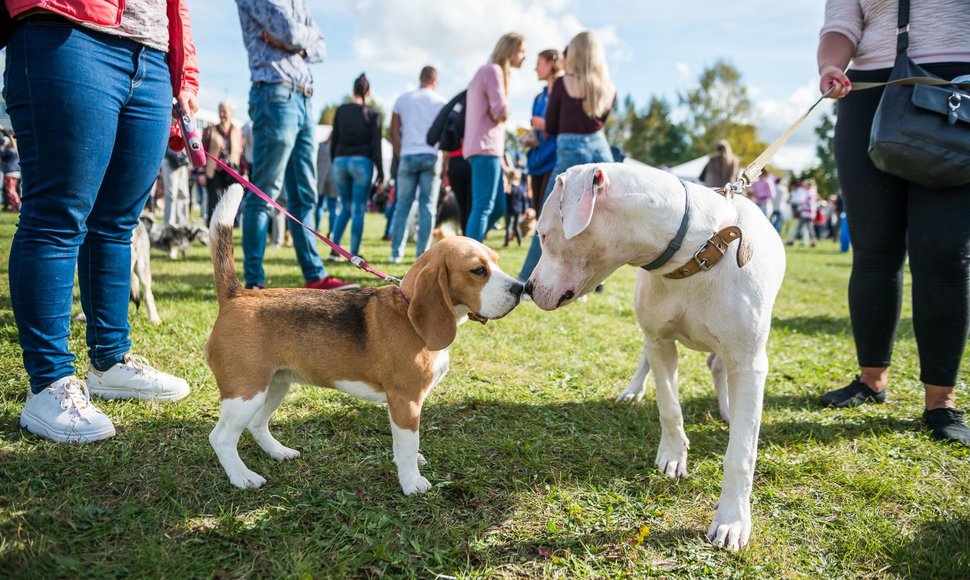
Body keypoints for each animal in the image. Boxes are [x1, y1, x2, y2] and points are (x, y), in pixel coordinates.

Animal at [520, 163, 788, 552]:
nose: (527, 287)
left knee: (719, 368)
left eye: (542, 234)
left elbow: (741, 453)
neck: (695, 252)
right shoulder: (661, 343)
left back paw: (727, 408)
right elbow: (668, 406)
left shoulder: (748, 361)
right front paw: (673, 456)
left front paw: (732, 521)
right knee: (647, 360)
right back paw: (634, 391)